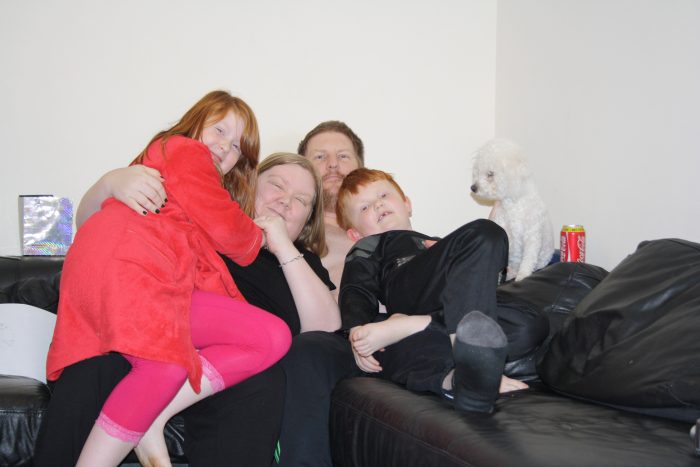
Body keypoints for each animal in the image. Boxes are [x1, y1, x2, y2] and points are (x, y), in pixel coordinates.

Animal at [470, 138, 553, 281]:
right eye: (478, 171)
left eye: (490, 174)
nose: (473, 188)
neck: (513, 205)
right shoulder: (505, 235)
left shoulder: (532, 236)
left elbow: (528, 258)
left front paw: (522, 276)